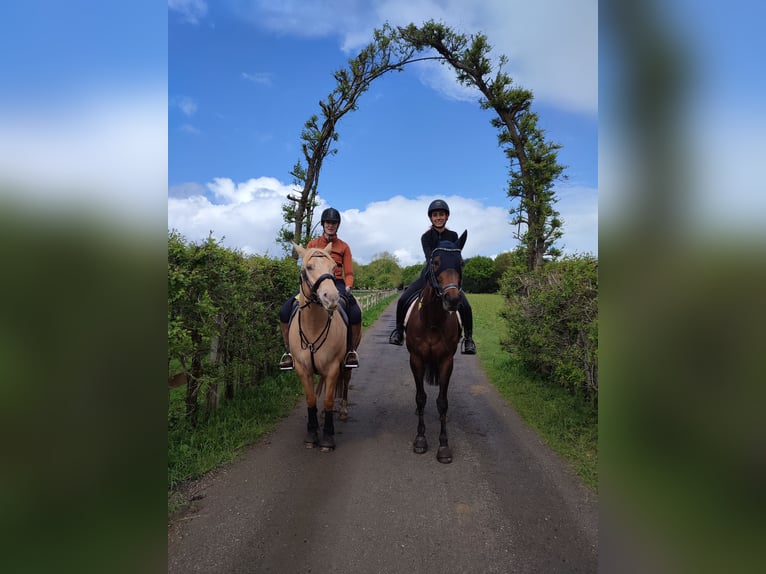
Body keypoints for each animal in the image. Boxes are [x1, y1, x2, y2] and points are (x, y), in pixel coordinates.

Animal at [292, 242, 352, 450]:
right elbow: (311, 400)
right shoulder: (302, 368)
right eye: (309, 267)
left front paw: (327, 437)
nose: (331, 297)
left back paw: (343, 411)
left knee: (346, 381)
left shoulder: (333, 367)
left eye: (334, 267)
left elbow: (328, 400)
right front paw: (312, 433)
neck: (313, 326)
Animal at [408, 232, 468, 466]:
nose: (452, 299)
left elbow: (442, 402)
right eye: (435, 262)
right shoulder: (416, 359)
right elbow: (421, 397)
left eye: (461, 262)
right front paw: (420, 439)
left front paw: (443, 446)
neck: (432, 319)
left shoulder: (446, 361)